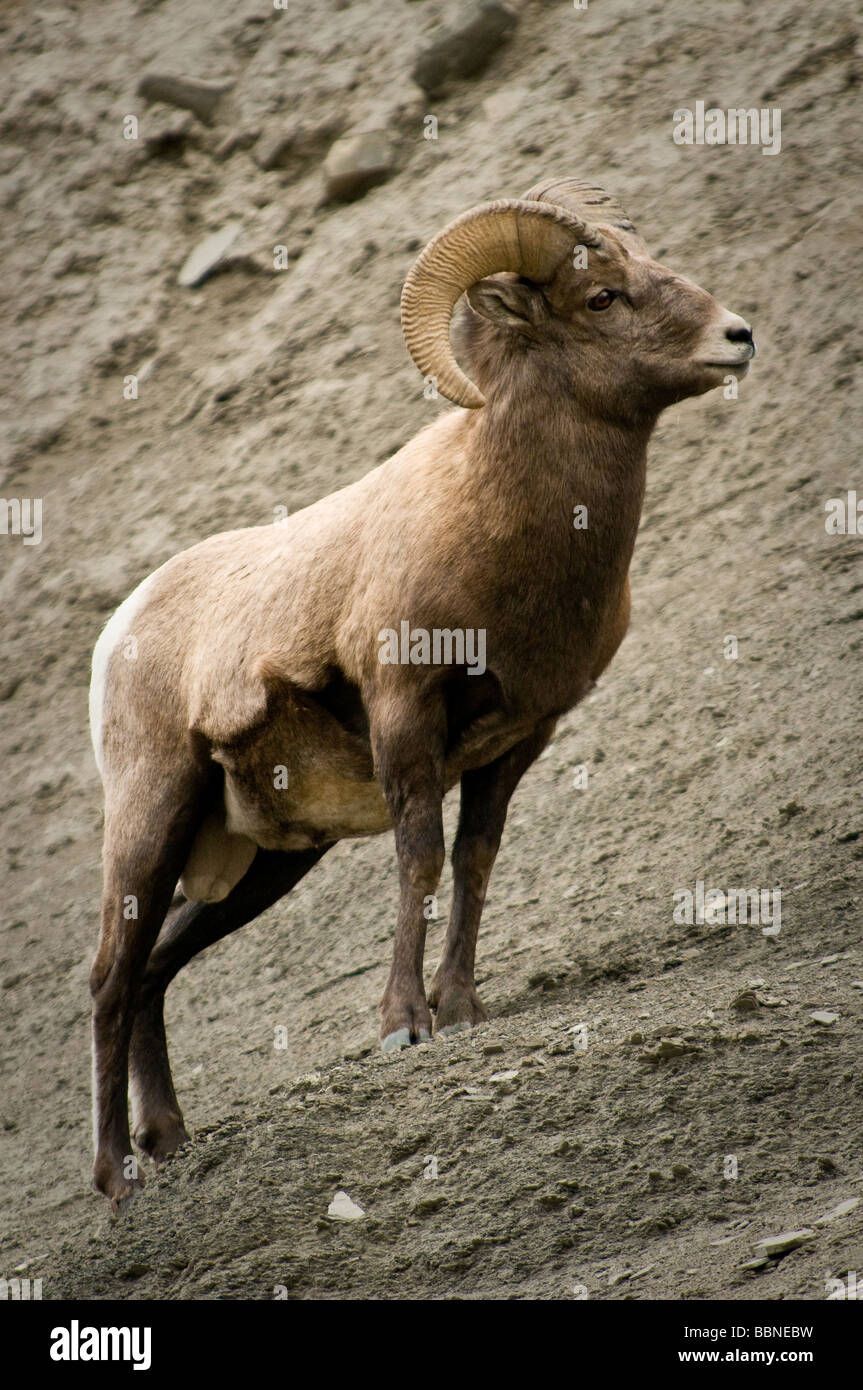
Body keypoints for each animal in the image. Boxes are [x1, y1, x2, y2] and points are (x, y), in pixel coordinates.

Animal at [88, 175, 755, 1207]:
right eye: (601, 297)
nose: (738, 337)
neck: (505, 530)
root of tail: (122, 628)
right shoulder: (406, 715)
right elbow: (420, 860)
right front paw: (404, 1024)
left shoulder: (518, 739)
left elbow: (474, 862)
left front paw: (464, 1008)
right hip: (152, 818)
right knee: (112, 981)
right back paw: (118, 1176)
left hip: (266, 861)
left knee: (156, 971)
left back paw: (170, 1140)